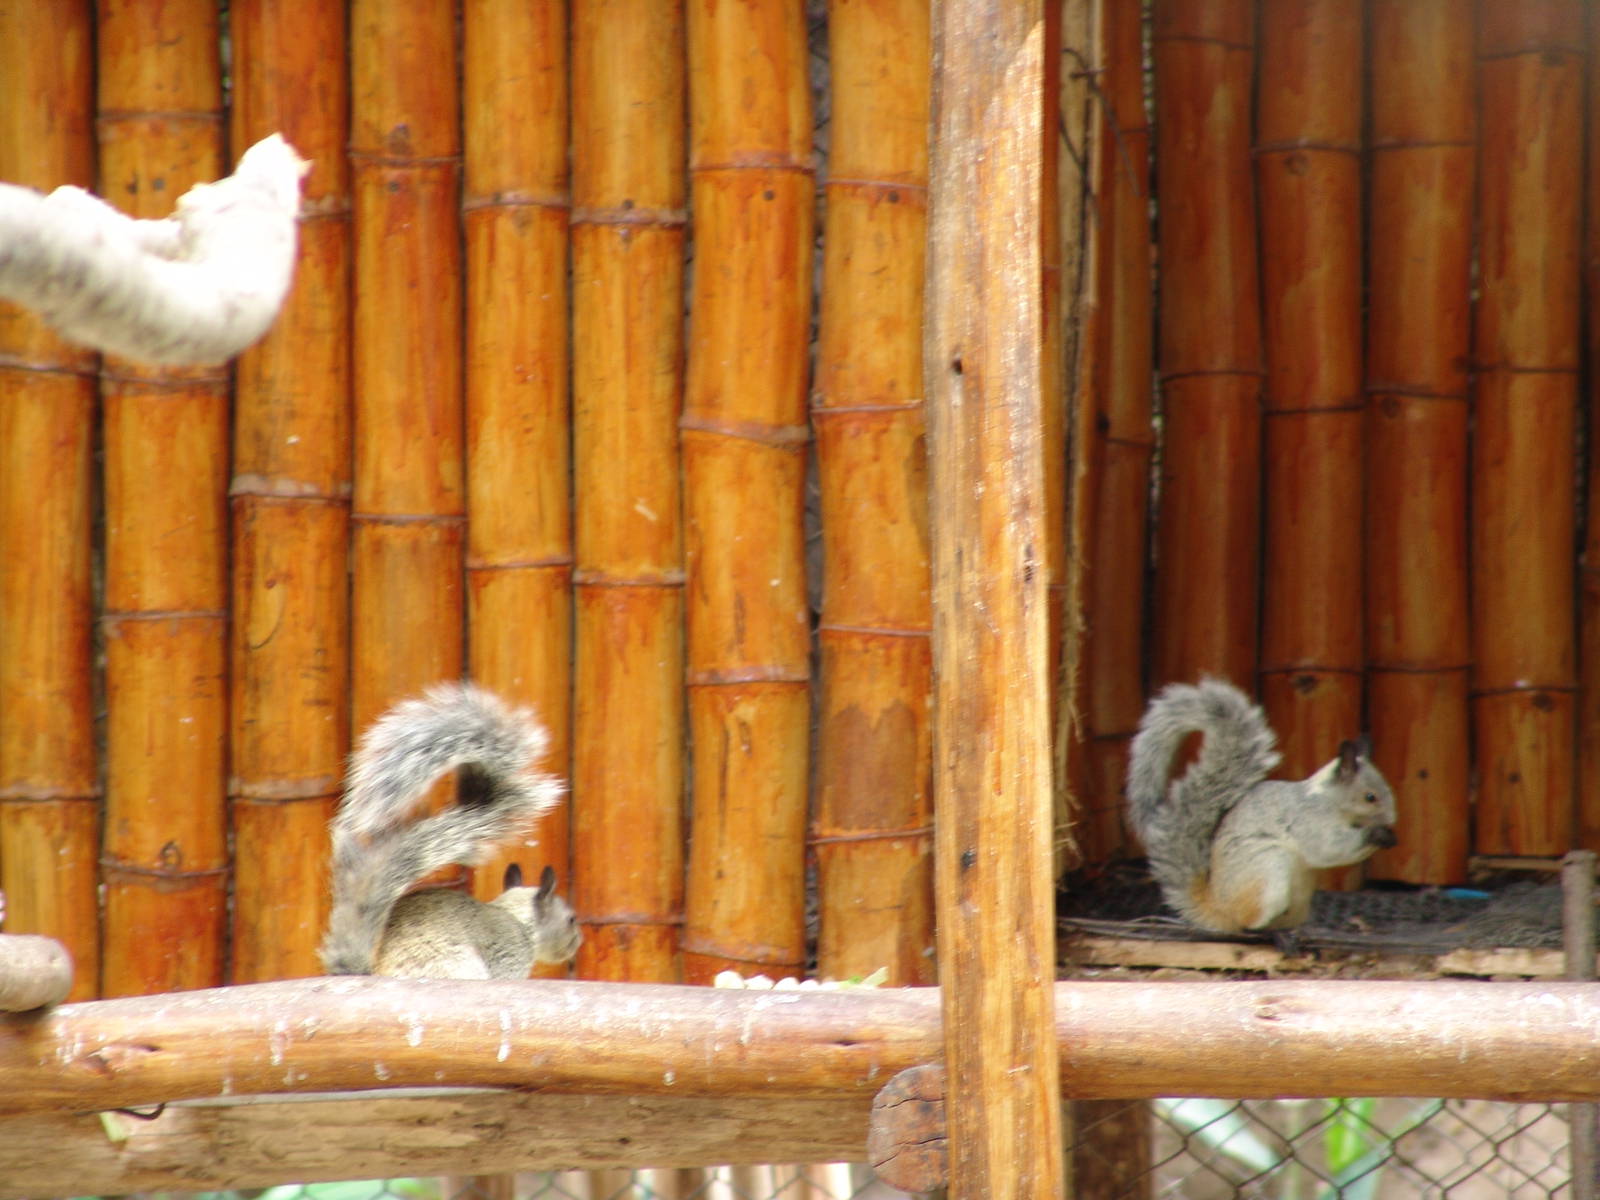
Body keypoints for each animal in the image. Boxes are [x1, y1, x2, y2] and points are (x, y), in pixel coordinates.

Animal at [1126, 678, 1398, 934]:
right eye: (1370, 797)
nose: (1392, 820)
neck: (1328, 799)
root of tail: (1219, 909)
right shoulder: (1309, 819)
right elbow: (1329, 847)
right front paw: (1378, 834)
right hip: (1269, 870)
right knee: (1247, 924)